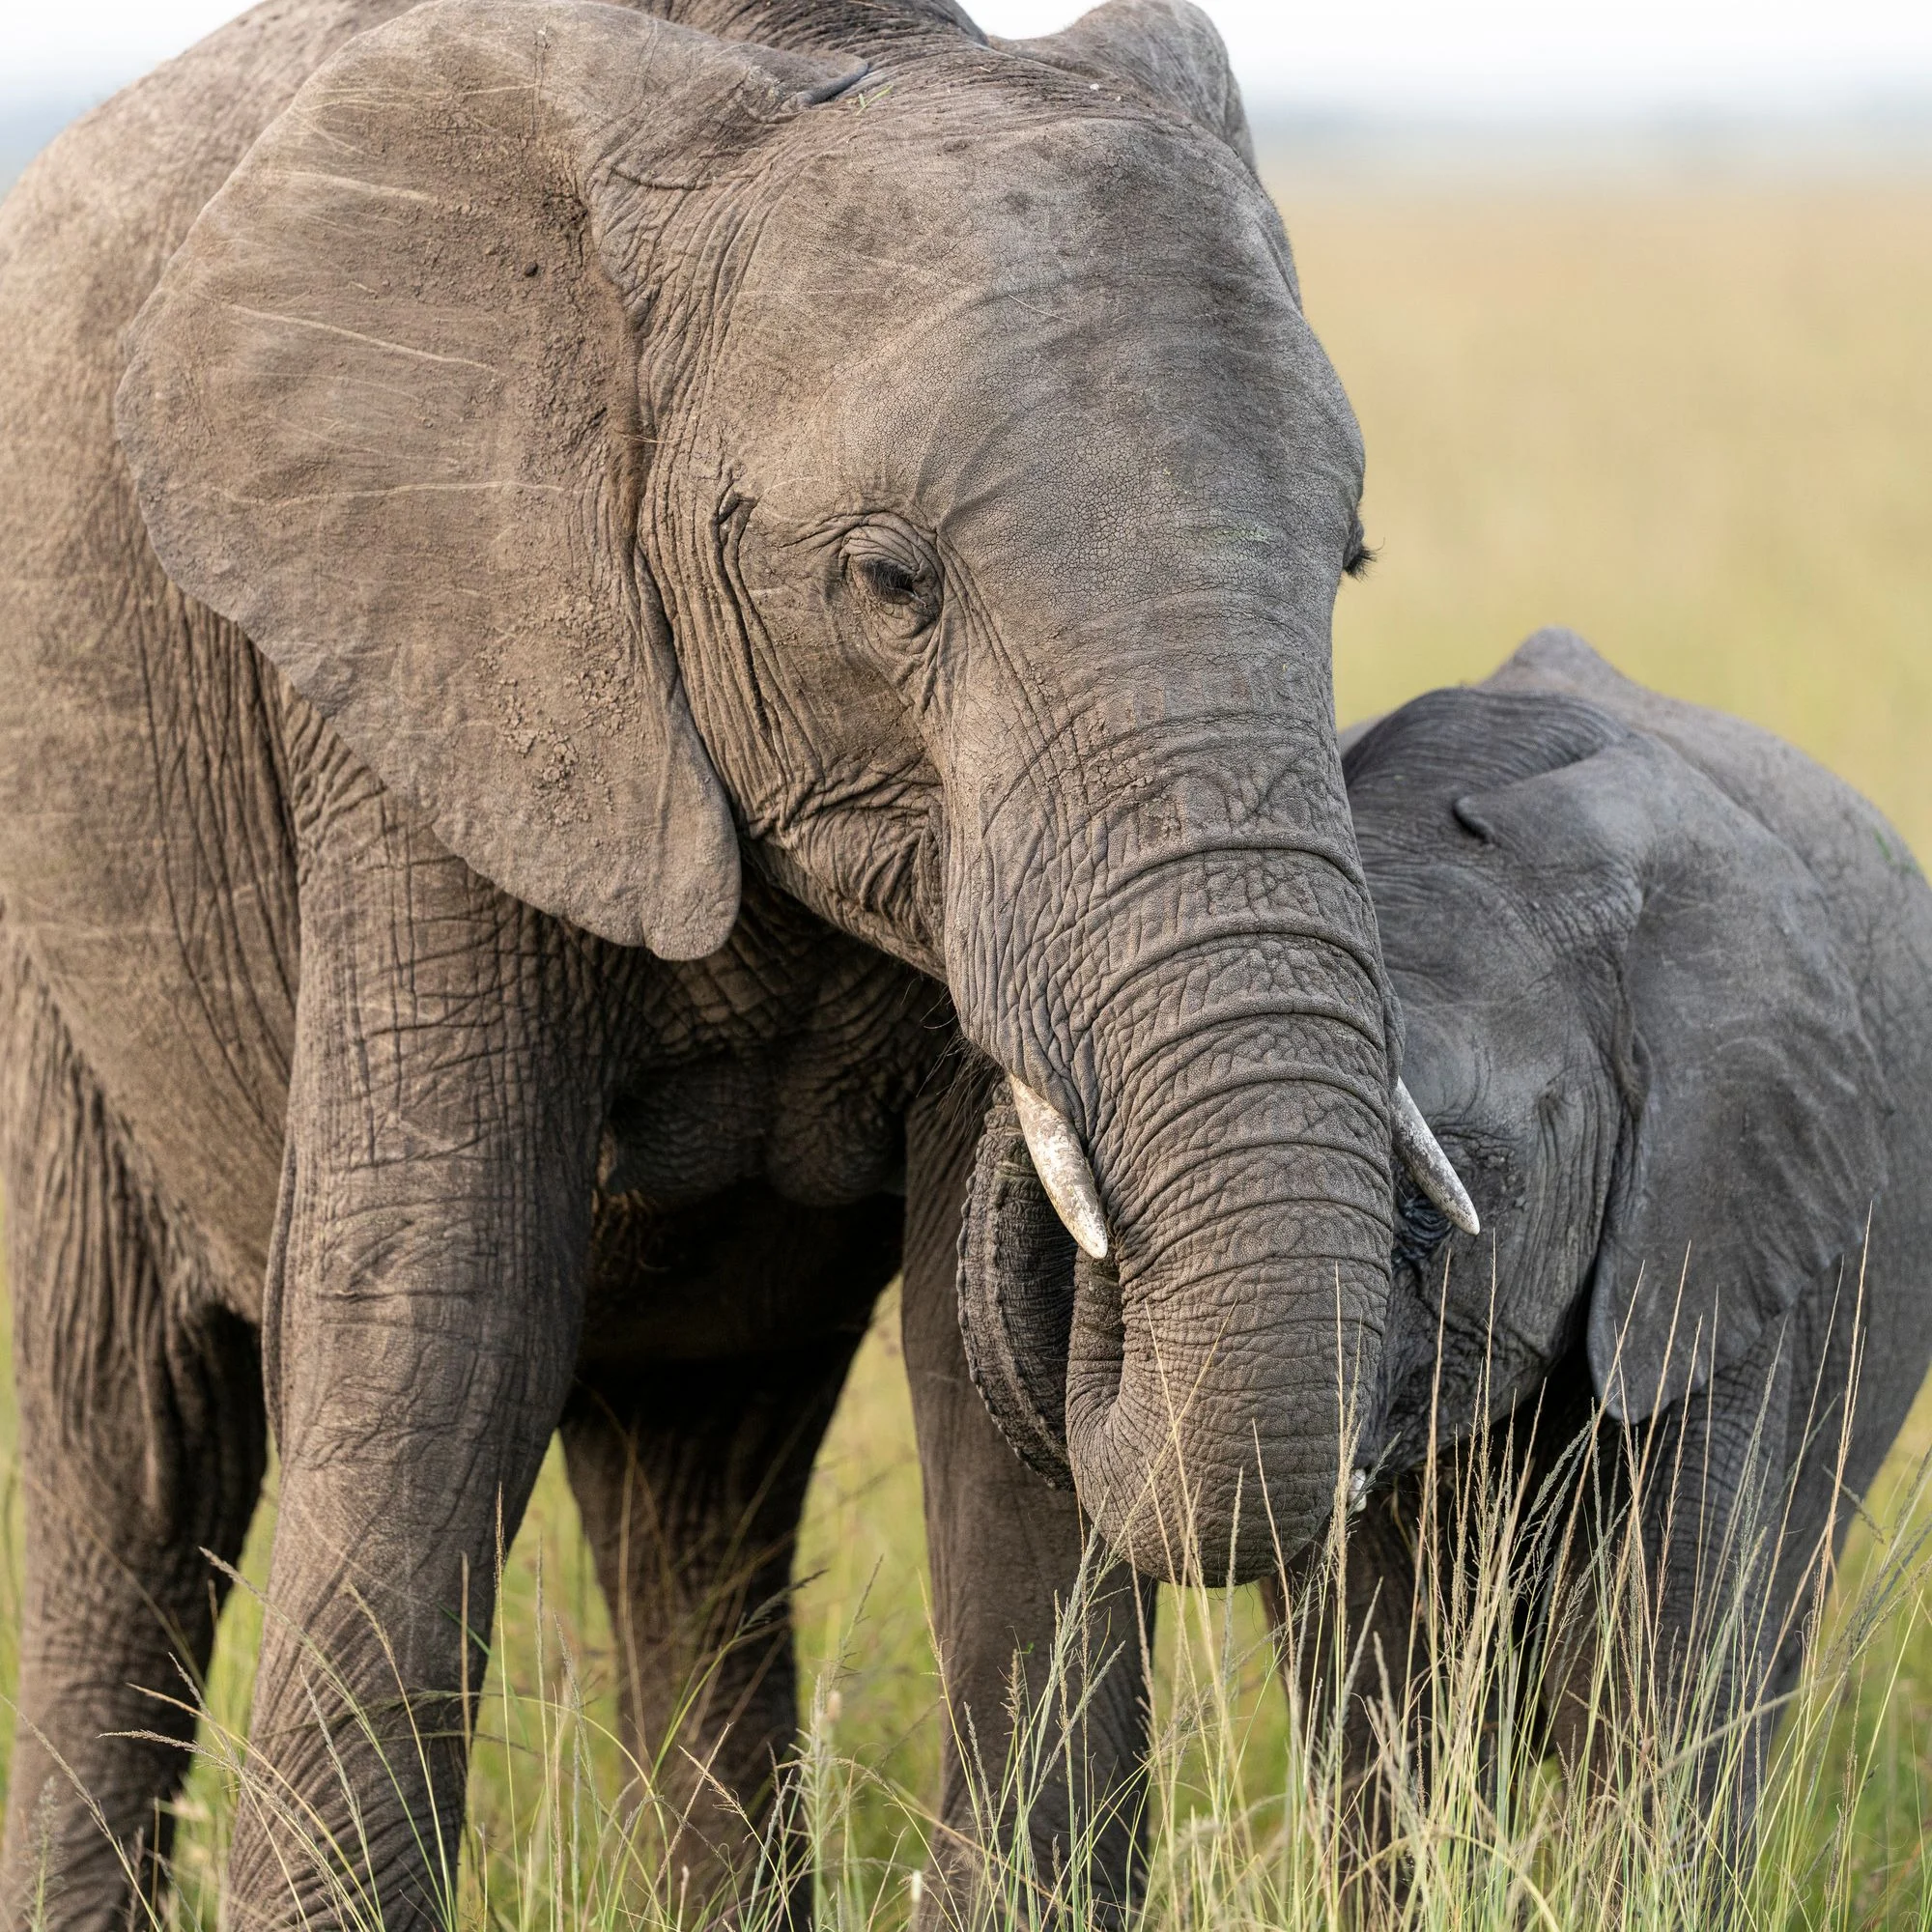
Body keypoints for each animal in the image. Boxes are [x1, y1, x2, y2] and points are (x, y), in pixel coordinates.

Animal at [0, 0, 1478, 1925]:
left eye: (1350, 563)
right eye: (889, 579)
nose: (1062, 1154)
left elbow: (976, 1402)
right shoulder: (427, 683)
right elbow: (440, 1331)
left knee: (701, 1489)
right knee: (137, 1459)